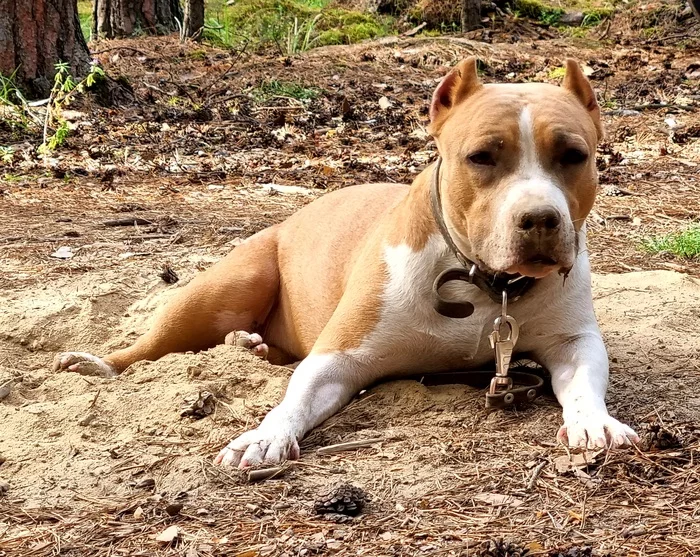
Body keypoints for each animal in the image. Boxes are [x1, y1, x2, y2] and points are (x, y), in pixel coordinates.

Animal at [53, 57, 640, 464]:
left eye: (574, 155)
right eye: (481, 157)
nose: (540, 218)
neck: (483, 284)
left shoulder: (573, 342)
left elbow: (583, 383)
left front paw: (596, 423)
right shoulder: (338, 356)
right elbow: (295, 397)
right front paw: (264, 436)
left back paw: (249, 345)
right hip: (228, 286)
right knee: (151, 346)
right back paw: (99, 364)